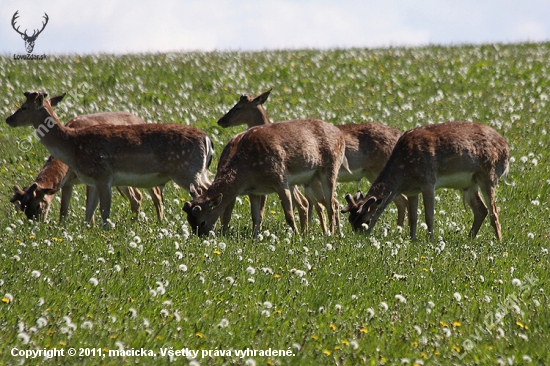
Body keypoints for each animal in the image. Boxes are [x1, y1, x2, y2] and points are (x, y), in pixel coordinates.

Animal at [6, 91, 213, 224]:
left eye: (23, 107)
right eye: (21, 208)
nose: (8, 119)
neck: (73, 147)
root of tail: (207, 138)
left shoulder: (103, 175)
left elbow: (104, 214)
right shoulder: (92, 180)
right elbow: (88, 212)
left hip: (186, 171)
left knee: (202, 191)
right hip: (199, 171)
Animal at [185, 118, 350, 236]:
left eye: (202, 222)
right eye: (189, 222)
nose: (200, 237)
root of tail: (340, 134)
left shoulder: (280, 179)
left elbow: (289, 215)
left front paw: (296, 236)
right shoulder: (254, 191)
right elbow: (255, 216)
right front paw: (255, 236)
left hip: (331, 168)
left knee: (330, 204)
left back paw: (330, 234)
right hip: (311, 180)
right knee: (325, 203)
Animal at [342, 121, 512, 242]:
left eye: (366, 219)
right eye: (350, 220)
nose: (358, 238)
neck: (404, 172)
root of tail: (506, 148)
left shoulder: (428, 181)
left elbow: (429, 215)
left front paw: (430, 240)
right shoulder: (412, 190)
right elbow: (413, 217)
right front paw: (412, 239)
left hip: (488, 175)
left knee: (494, 212)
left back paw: (499, 241)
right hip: (469, 184)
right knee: (481, 210)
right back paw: (469, 238)